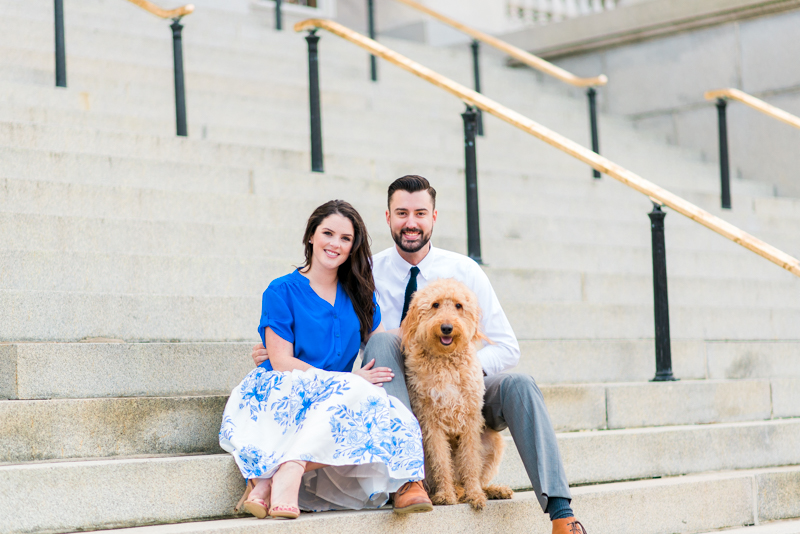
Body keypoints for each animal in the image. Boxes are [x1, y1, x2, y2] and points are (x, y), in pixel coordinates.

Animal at [400, 280, 512, 510]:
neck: (446, 361)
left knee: (477, 477)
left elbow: (470, 460)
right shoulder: (430, 422)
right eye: (435, 304)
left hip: (494, 442)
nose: (447, 328)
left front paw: (475, 495)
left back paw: (491, 490)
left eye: (459, 305)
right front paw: (445, 494)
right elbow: (442, 461)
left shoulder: (470, 420)